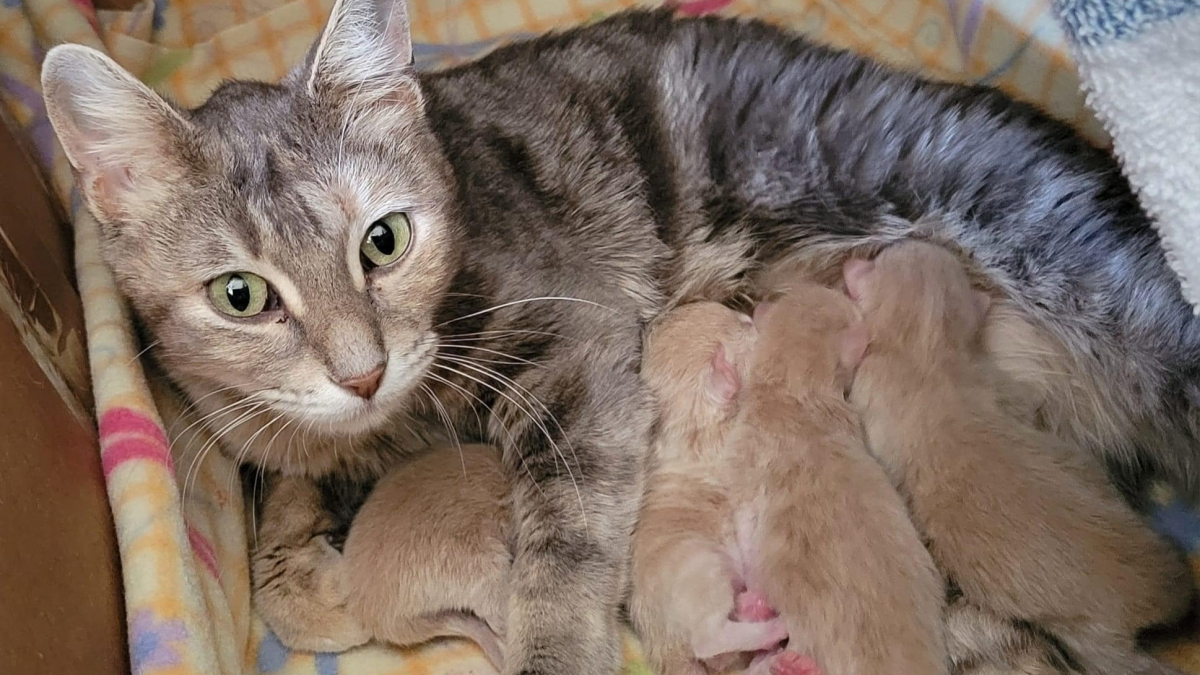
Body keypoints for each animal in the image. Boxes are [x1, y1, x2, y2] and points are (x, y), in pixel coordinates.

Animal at [633, 293, 950, 672]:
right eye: (741, 326)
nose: (748, 316)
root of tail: (659, 645)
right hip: (701, 569)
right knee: (709, 640)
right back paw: (773, 630)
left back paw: (760, 620)